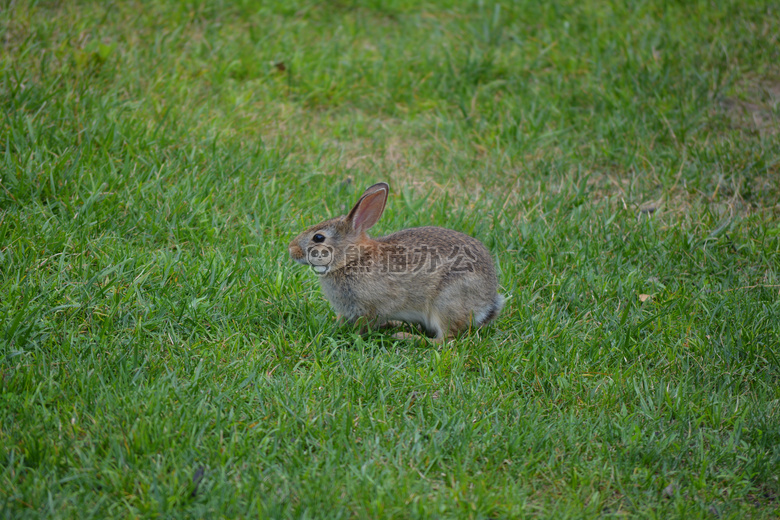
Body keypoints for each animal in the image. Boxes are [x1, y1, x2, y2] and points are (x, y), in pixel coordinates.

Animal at [288, 182, 506, 342]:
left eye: (318, 238)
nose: (291, 249)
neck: (351, 259)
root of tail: (488, 302)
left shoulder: (372, 307)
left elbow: (363, 325)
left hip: (446, 302)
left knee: (445, 339)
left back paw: (405, 336)